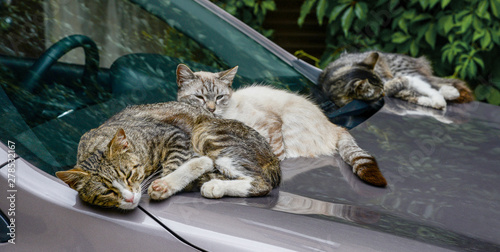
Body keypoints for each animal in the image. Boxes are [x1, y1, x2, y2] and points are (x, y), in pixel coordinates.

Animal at [56, 101, 282, 210]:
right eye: (107, 192)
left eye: (129, 175)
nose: (130, 198)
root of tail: (274, 158)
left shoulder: (175, 135)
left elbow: (175, 164)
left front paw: (165, 184)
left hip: (206, 132)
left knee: (262, 183)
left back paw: (214, 184)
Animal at [318, 51, 474, 109]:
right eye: (379, 95)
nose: (383, 95)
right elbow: (409, 95)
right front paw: (432, 102)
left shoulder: (391, 80)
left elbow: (425, 89)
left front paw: (439, 100)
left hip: (404, 70)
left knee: (433, 82)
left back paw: (451, 92)